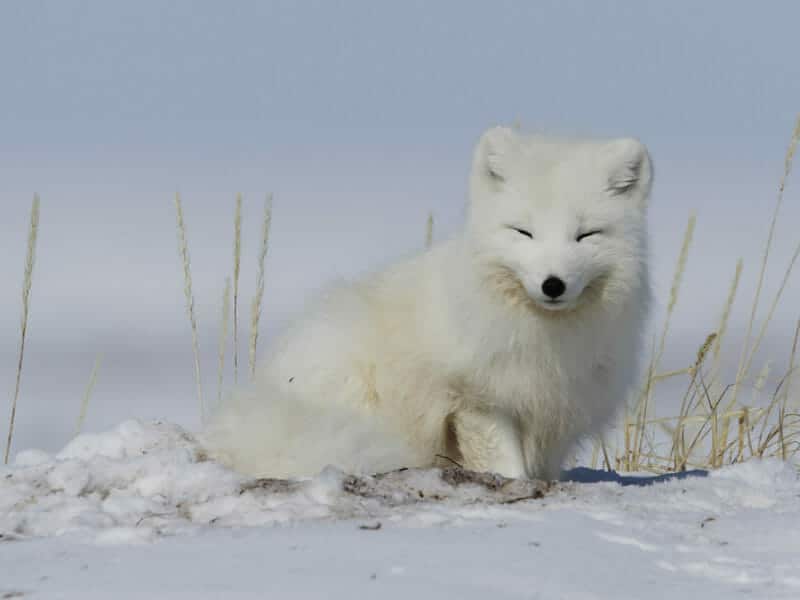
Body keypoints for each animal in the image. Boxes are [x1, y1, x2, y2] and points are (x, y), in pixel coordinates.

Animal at [204, 126, 654, 481]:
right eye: (523, 232)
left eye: (586, 235)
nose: (553, 284)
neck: (546, 337)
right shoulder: (477, 400)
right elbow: (507, 465)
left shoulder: (557, 407)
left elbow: (542, 468)